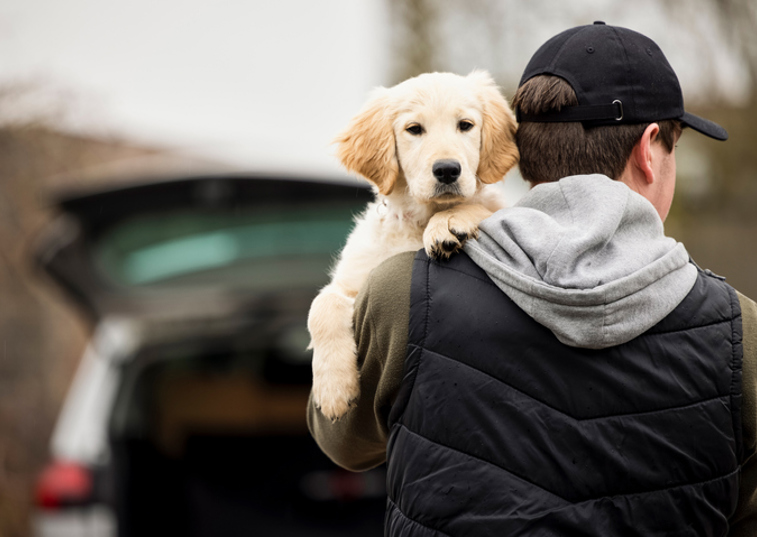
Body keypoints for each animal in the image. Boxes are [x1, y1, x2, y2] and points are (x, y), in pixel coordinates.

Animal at [308, 70, 520, 418]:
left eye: (465, 125)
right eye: (414, 129)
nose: (447, 170)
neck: (419, 219)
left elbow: (484, 207)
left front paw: (449, 222)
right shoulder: (353, 280)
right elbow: (321, 305)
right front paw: (334, 390)